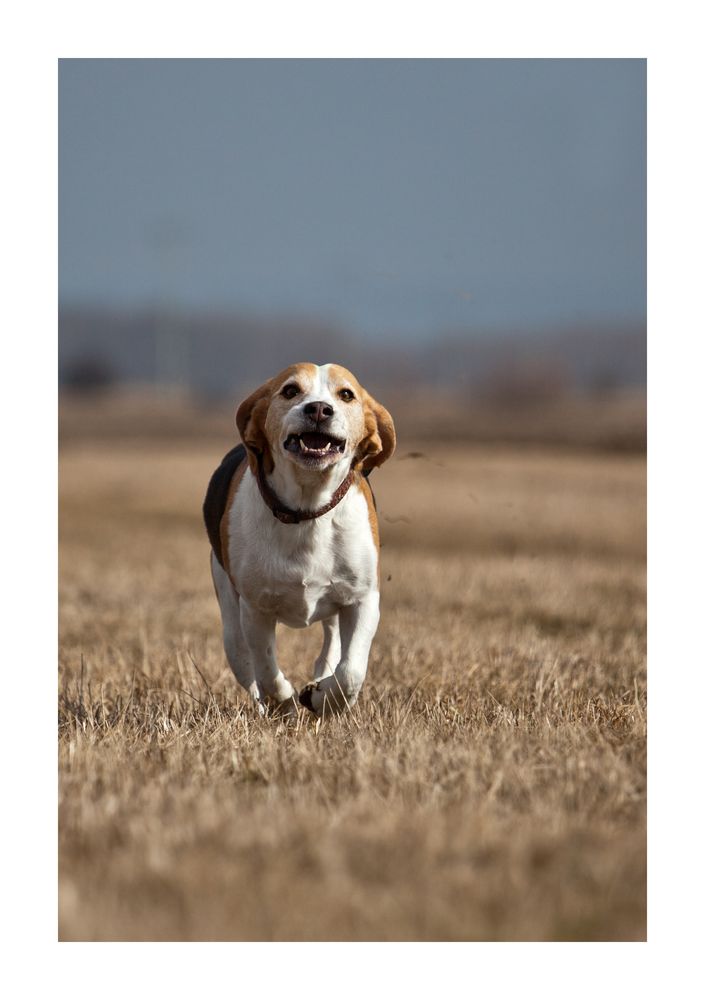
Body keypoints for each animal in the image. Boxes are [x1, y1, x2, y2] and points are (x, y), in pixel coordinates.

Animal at [202, 364, 396, 716]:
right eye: (290, 391)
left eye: (346, 394)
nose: (318, 409)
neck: (308, 510)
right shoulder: (256, 607)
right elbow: (266, 670)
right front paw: (285, 703)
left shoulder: (363, 598)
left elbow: (351, 671)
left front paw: (321, 698)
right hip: (229, 609)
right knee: (244, 662)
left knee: (332, 647)